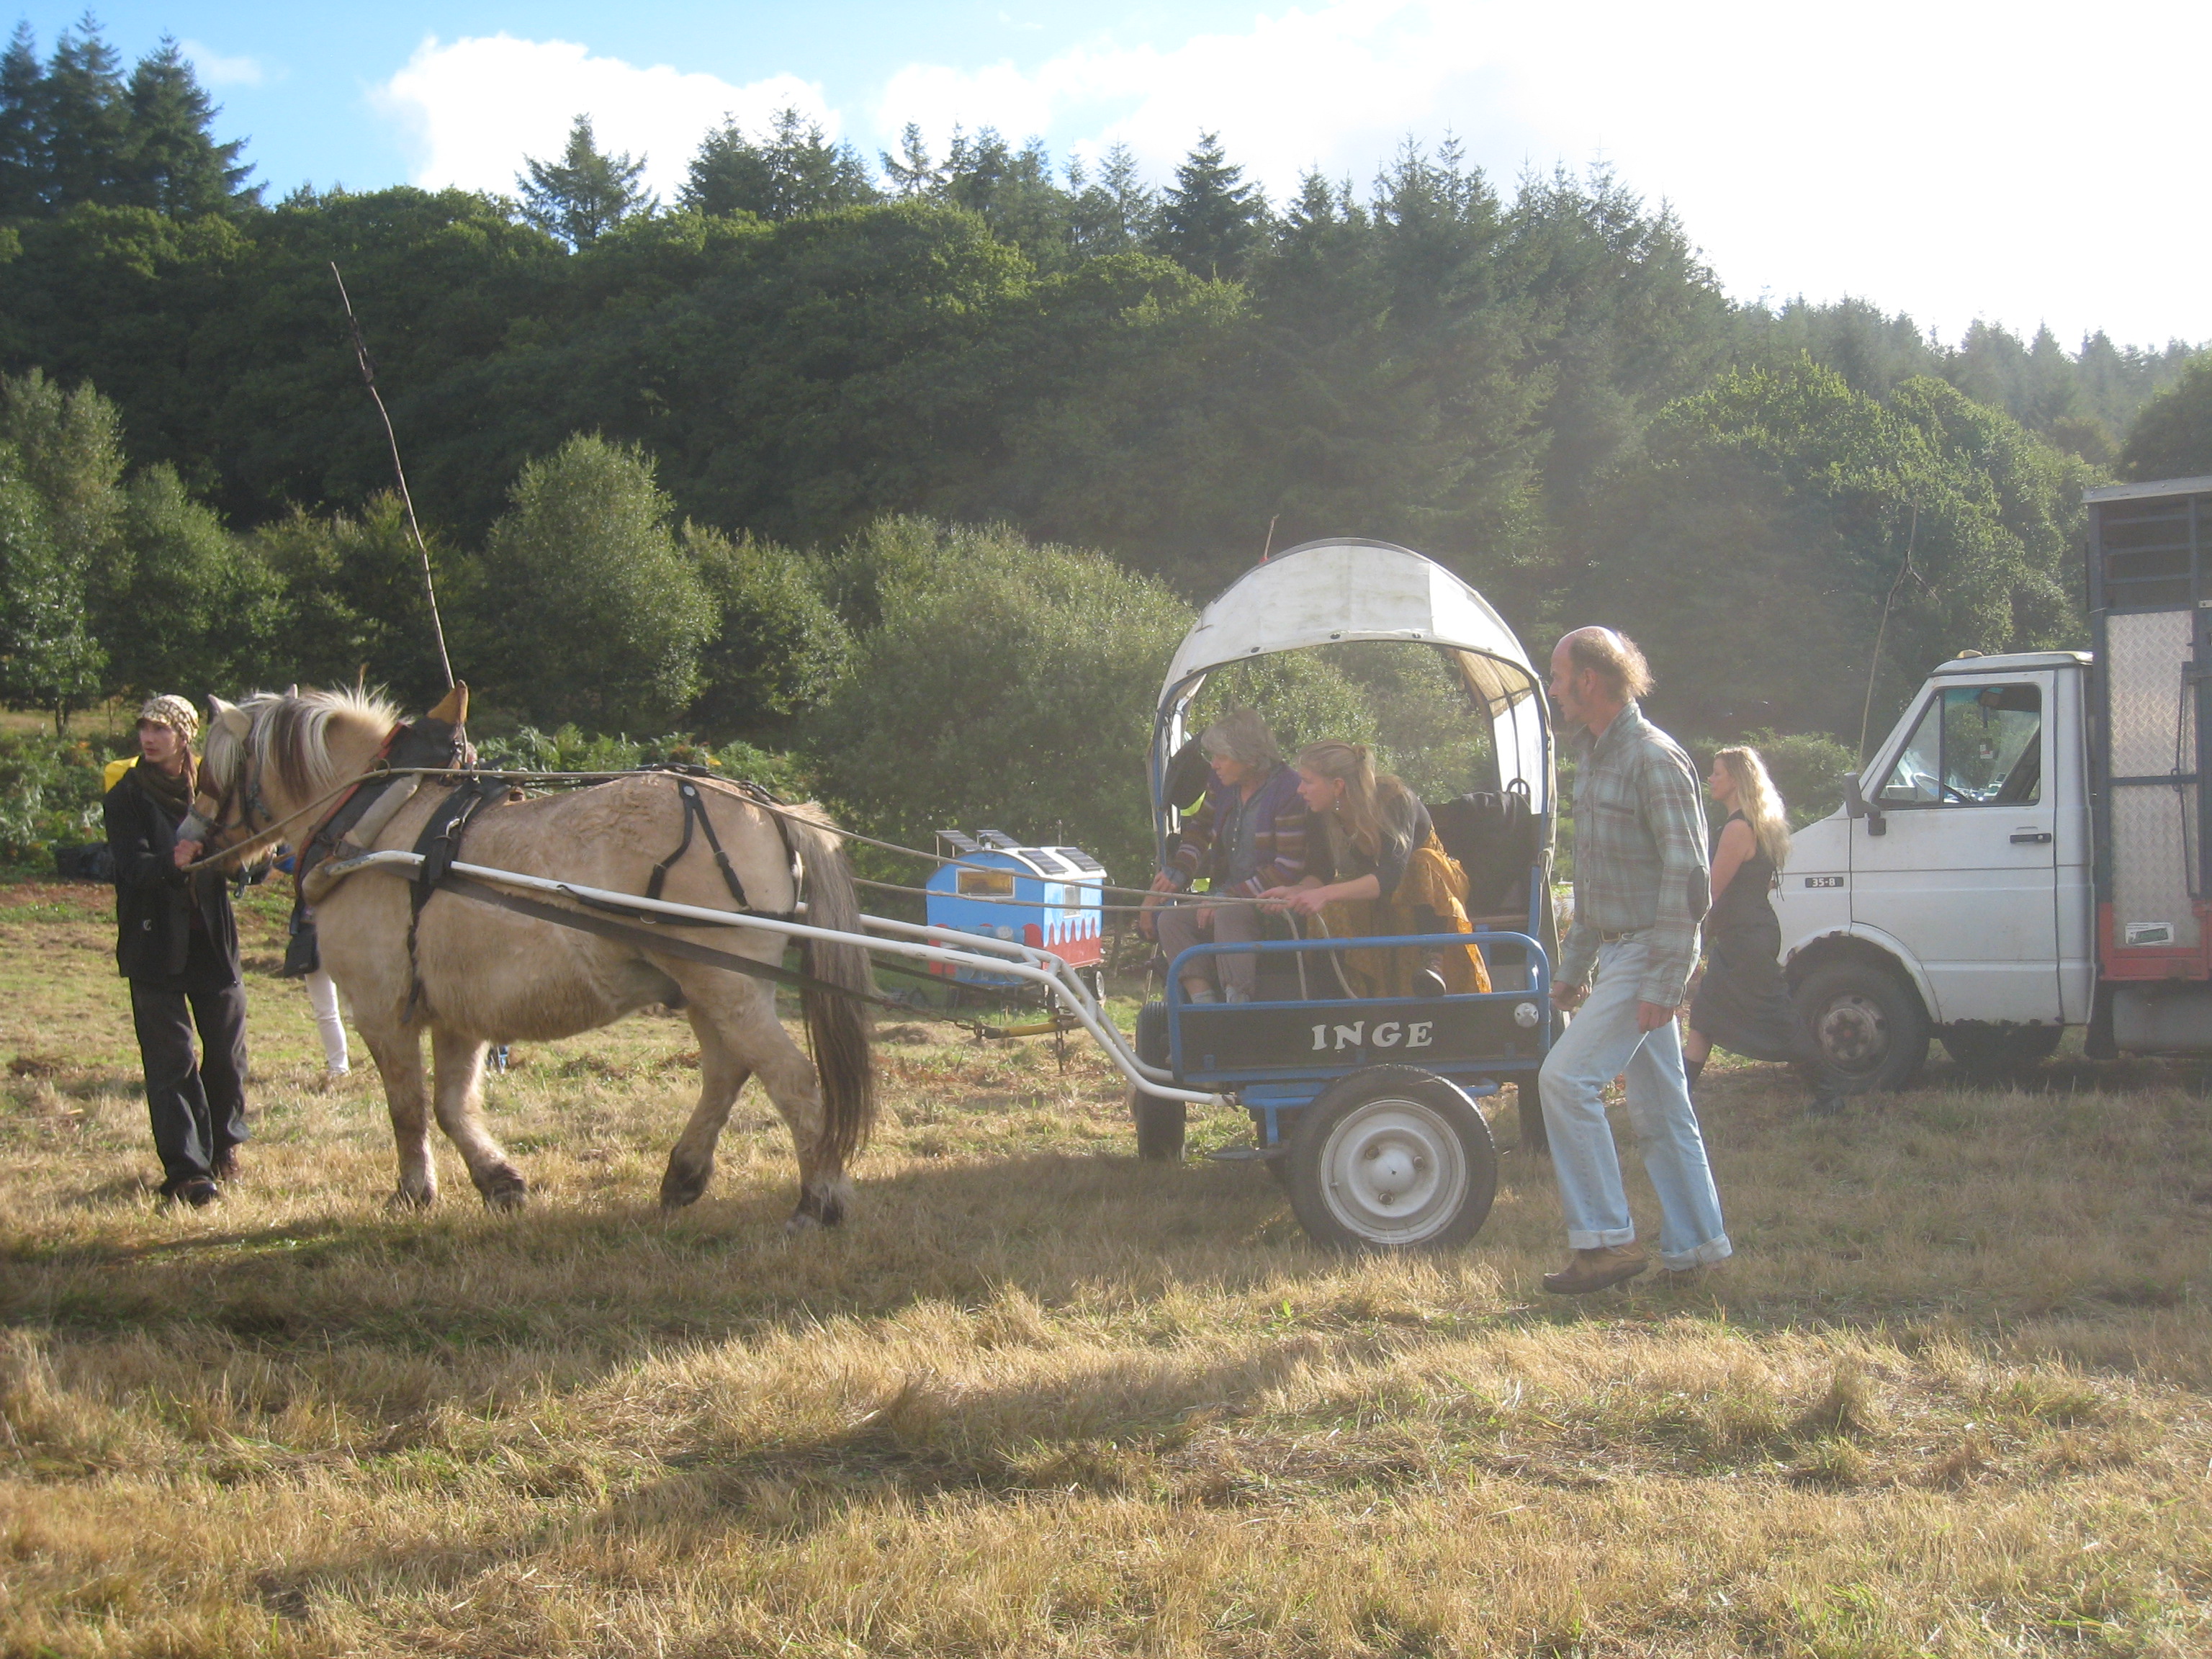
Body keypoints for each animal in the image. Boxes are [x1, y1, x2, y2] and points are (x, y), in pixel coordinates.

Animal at [192, 685, 877, 1228]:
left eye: (207, 771)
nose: (187, 845)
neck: (376, 823)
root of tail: (771, 809)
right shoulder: (458, 1012)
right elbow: (452, 1105)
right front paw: (499, 1181)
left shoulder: (380, 1008)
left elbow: (407, 1108)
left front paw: (414, 1192)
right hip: (709, 986)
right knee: (727, 1072)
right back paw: (684, 1175)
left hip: (724, 981)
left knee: (791, 1080)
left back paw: (818, 1200)